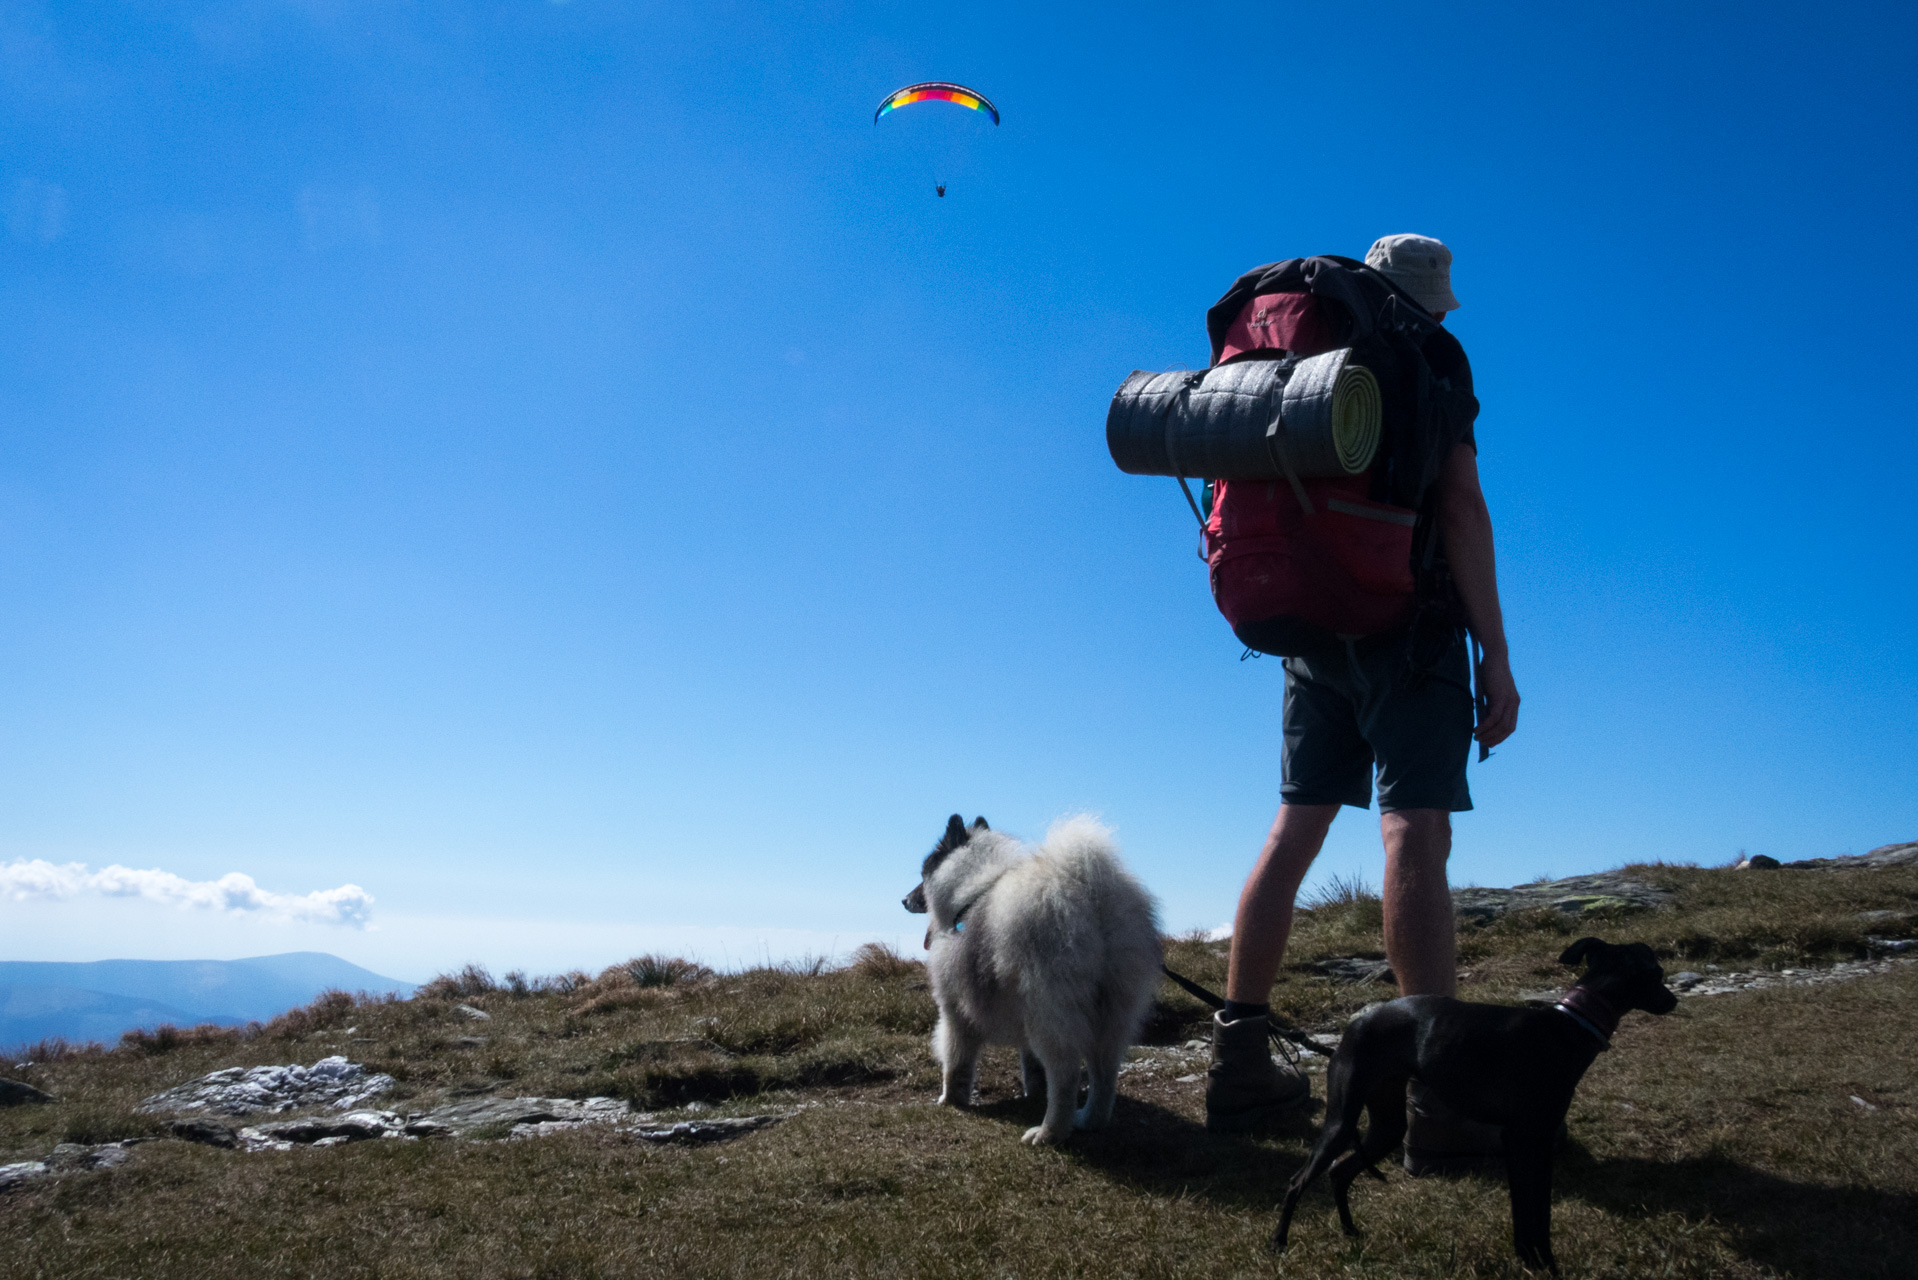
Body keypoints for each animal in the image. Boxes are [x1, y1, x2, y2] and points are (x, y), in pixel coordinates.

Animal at [901, 817, 1158, 1143]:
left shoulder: (954, 1011)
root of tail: (1091, 896)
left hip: (1049, 1011)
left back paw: (1049, 1133)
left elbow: (955, 1062)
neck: (971, 892)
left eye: (923, 873)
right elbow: (1033, 1067)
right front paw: (1033, 1093)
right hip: (1111, 1013)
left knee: (1066, 1076)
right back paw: (1089, 1119)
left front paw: (949, 1100)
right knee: (1105, 1074)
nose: (904, 900)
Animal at [1273, 936, 1680, 1274]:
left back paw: (1350, 1232)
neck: (1570, 1025)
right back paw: (1278, 1244)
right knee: (1296, 1181)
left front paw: (1535, 1259)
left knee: (1340, 1172)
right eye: (1657, 972)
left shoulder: (1535, 1145)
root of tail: (1357, 1022)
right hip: (1341, 1122)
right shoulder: (1522, 1141)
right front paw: (1539, 1262)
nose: (1673, 1000)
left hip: (1387, 1127)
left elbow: (1536, 1211)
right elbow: (1531, 1211)